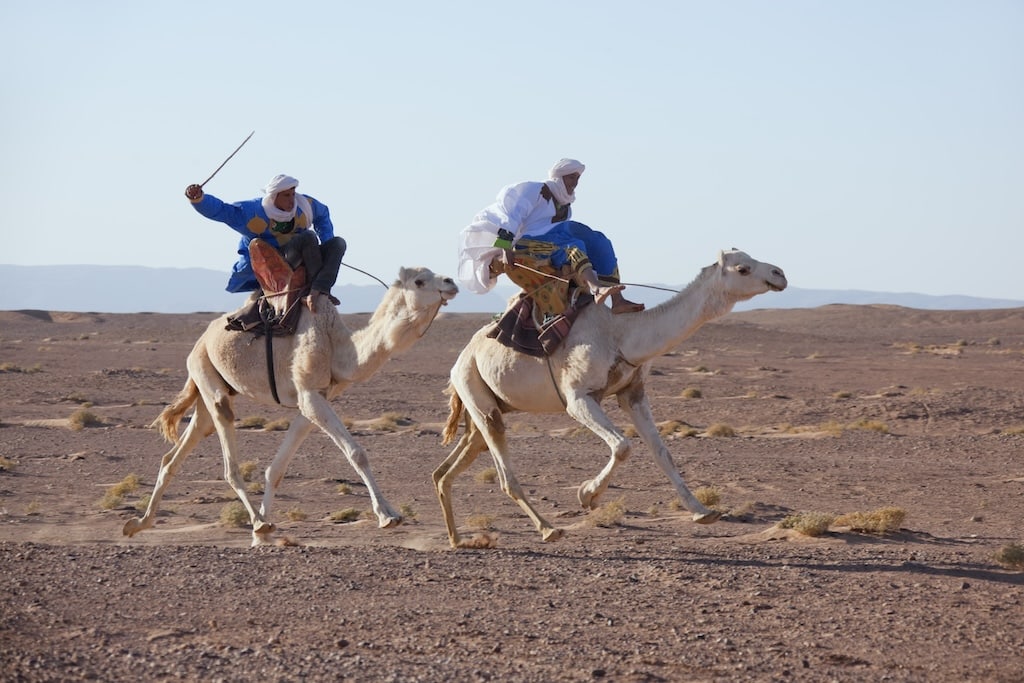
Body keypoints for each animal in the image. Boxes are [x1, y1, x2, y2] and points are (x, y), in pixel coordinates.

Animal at [121, 264, 458, 548]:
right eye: (420, 280)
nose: (451, 282)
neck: (338, 347)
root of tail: (201, 339)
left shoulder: (312, 401)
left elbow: (276, 469)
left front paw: (260, 539)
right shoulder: (309, 395)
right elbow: (356, 452)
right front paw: (388, 516)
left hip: (209, 389)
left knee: (174, 454)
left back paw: (138, 523)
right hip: (206, 375)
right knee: (227, 457)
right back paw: (257, 522)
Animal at [432, 248, 782, 548]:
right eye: (743, 268)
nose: (779, 273)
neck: (621, 335)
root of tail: (459, 361)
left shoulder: (633, 393)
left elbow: (662, 453)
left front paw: (702, 511)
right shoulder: (578, 399)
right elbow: (623, 446)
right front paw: (587, 494)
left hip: (486, 407)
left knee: (446, 469)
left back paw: (457, 540)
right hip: (475, 389)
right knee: (504, 474)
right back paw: (548, 529)